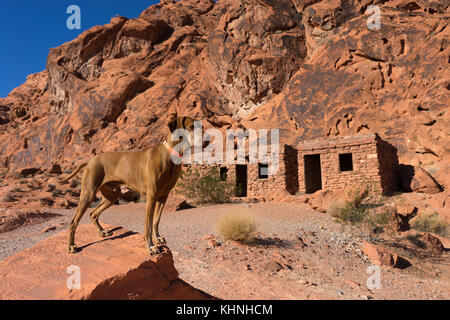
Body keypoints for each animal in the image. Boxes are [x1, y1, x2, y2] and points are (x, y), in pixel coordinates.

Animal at [61, 115, 197, 255]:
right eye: (192, 126)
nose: (205, 139)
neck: (170, 155)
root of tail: (90, 160)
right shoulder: (151, 196)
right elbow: (148, 225)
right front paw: (150, 246)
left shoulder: (163, 196)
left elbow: (156, 221)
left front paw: (157, 238)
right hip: (88, 194)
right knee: (73, 222)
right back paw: (71, 246)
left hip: (111, 196)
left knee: (93, 213)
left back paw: (102, 231)